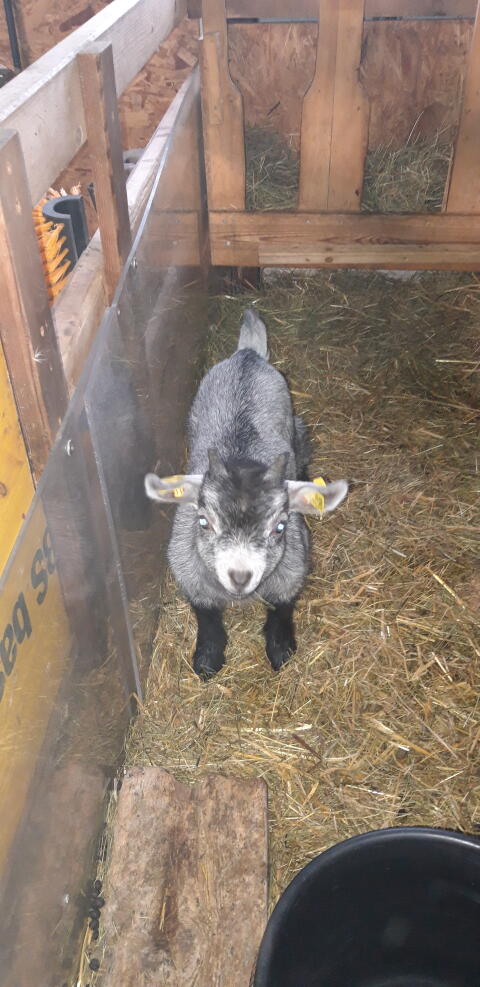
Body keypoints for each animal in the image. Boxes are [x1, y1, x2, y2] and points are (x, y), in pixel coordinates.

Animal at [145, 308, 347, 679]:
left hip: (292, 420)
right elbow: (208, 619)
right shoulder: (190, 575)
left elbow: (282, 609)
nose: (240, 576)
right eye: (204, 522)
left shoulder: (293, 567)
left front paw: (281, 650)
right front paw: (207, 660)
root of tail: (248, 355)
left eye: (279, 527)